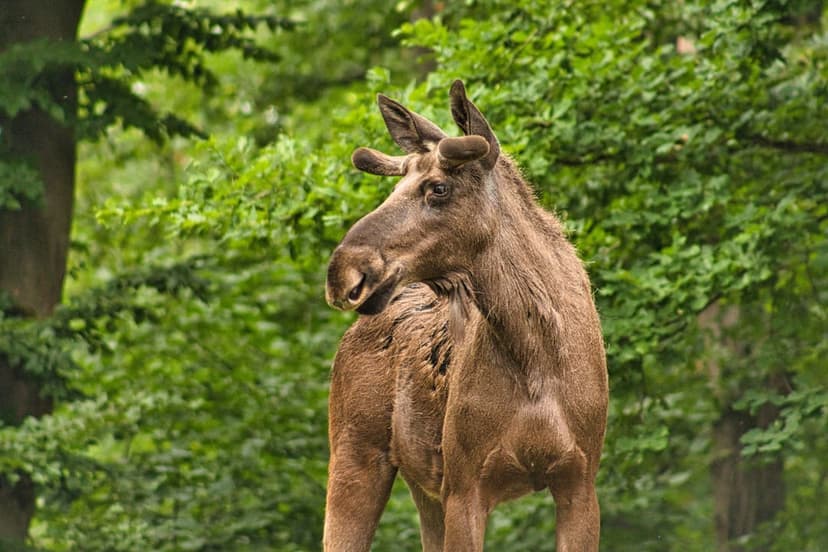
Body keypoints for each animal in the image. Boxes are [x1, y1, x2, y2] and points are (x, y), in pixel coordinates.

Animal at [324, 80, 609, 552]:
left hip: (424, 489)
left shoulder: (580, 480)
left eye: (438, 188)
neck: (537, 356)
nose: (342, 271)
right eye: (394, 189)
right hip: (356, 453)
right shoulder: (465, 486)